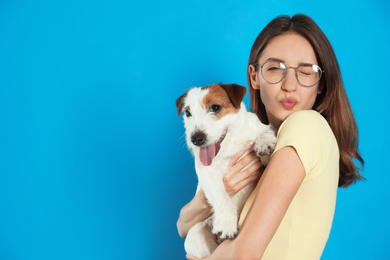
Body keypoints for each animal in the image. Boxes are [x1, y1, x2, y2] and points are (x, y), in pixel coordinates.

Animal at [175, 84, 276, 258]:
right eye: (188, 113)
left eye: (215, 107)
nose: (196, 139)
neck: (231, 145)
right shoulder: (207, 173)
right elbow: (221, 195)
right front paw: (226, 223)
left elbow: (263, 132)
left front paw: (264, 142)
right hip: (197, 239)